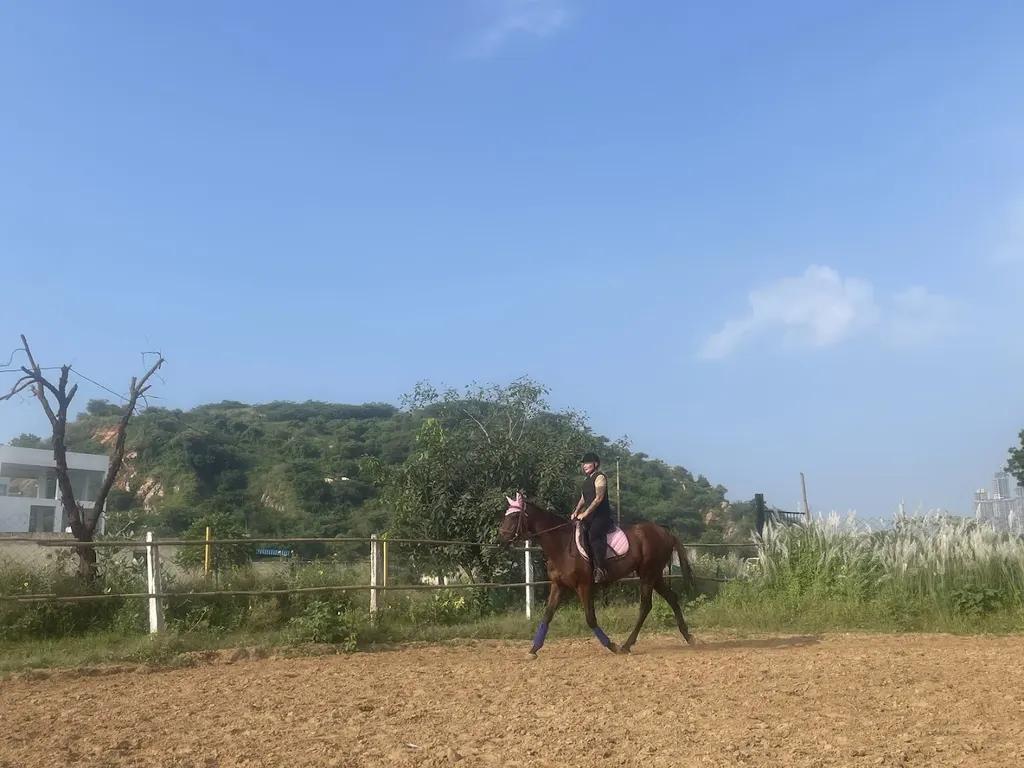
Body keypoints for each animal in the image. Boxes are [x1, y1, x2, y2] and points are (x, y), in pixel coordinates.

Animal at [497, 492, 697, 657]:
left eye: (514, 516)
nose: (501, 542)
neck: (562, 545)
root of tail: (665, 532)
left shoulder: (584, 586)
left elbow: (590, 619)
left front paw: (612, 646)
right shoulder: (558, 585)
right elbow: (547, 615)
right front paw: (533, 650)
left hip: (648, 575)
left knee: (645, 607)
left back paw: (626, 645)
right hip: (655, 575)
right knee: (671, 598)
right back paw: (688, 637)